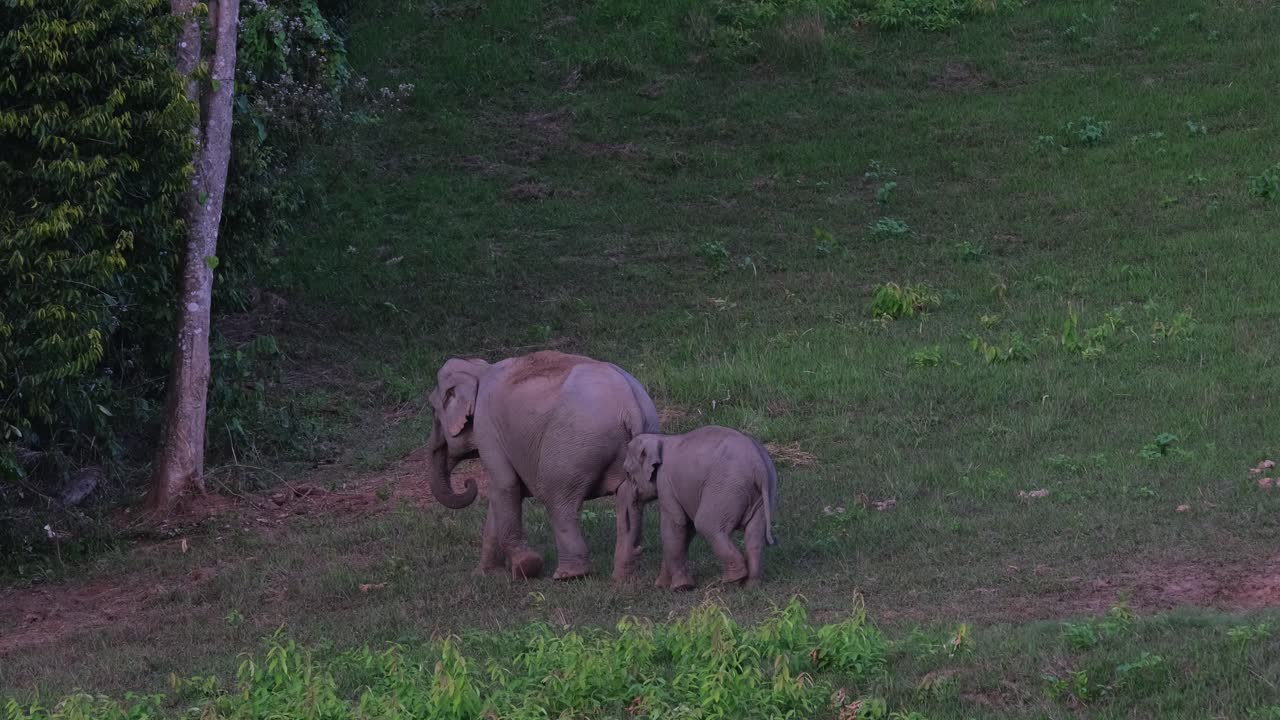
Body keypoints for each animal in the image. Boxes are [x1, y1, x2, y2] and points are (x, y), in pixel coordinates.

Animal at [425, 350, 660, 581]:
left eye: (433, 411)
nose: (468, 482)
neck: (479, 369)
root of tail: (631, 403)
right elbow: (502, 495)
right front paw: (484, 573)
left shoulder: (487, 429)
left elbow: (505, 485)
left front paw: (526, 568)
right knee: (628, 502)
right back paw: (622, 578)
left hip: (573, 447)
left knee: (556, 498)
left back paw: (568, 575)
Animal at [620, 425, 778, 590]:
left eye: (627, 472)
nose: (639, 549)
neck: (662, 438)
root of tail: (758, 464)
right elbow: (687, 530)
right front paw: (663, 585)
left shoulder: (665, 482)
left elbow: (676, 525)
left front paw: (680, 587)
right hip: (765, 493)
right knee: (754, 536)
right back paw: (751, 585)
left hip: (726, 488)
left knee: (706, 524)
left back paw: (733, 578)